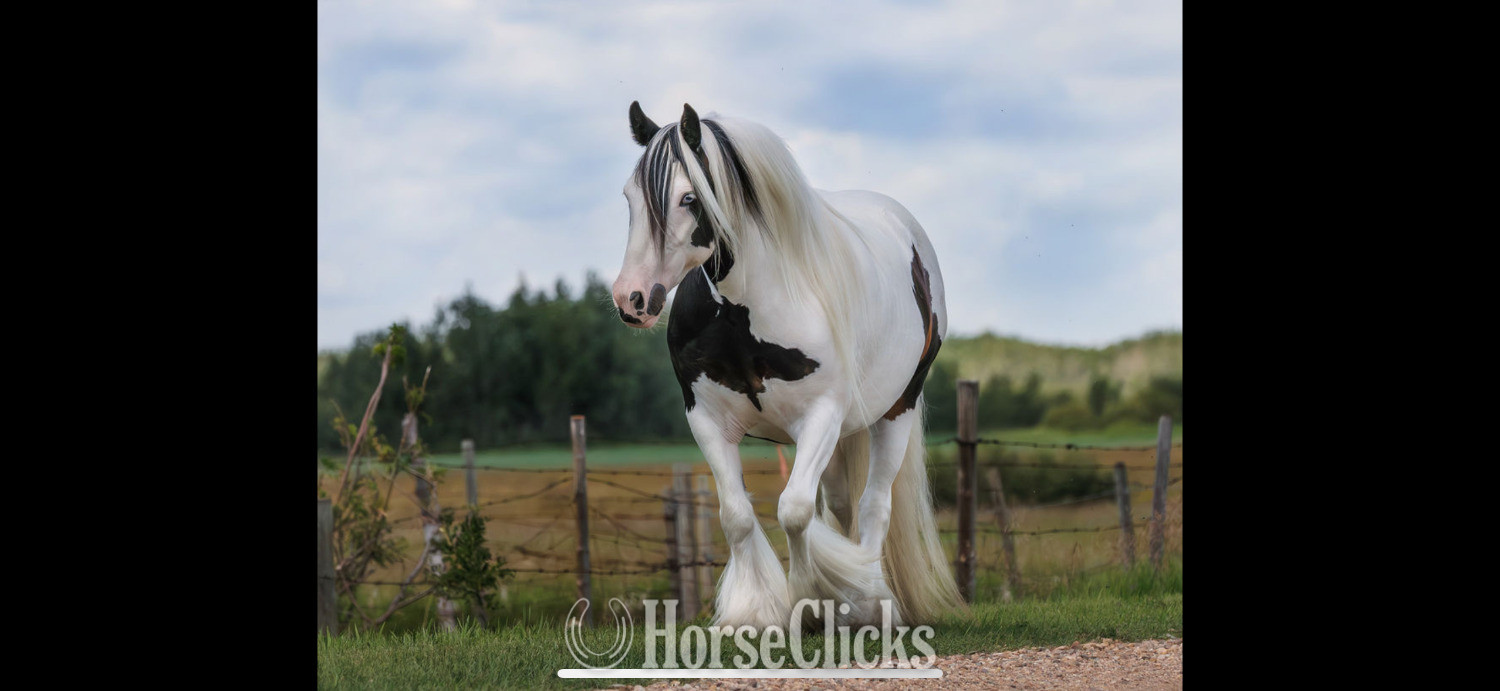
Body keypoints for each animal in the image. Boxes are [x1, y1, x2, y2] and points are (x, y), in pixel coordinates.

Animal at [610, 102, 965, 630]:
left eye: (688, 198)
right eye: (630, 197)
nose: (631, 299)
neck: (745, 313)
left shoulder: (820, 416)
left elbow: (795, 510)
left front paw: (808, 601)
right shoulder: (707, 420)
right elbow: (736, 516)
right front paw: (756, 611)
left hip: (895, 411)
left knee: (873, 507)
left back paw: (869, 602)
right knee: (841, 506)